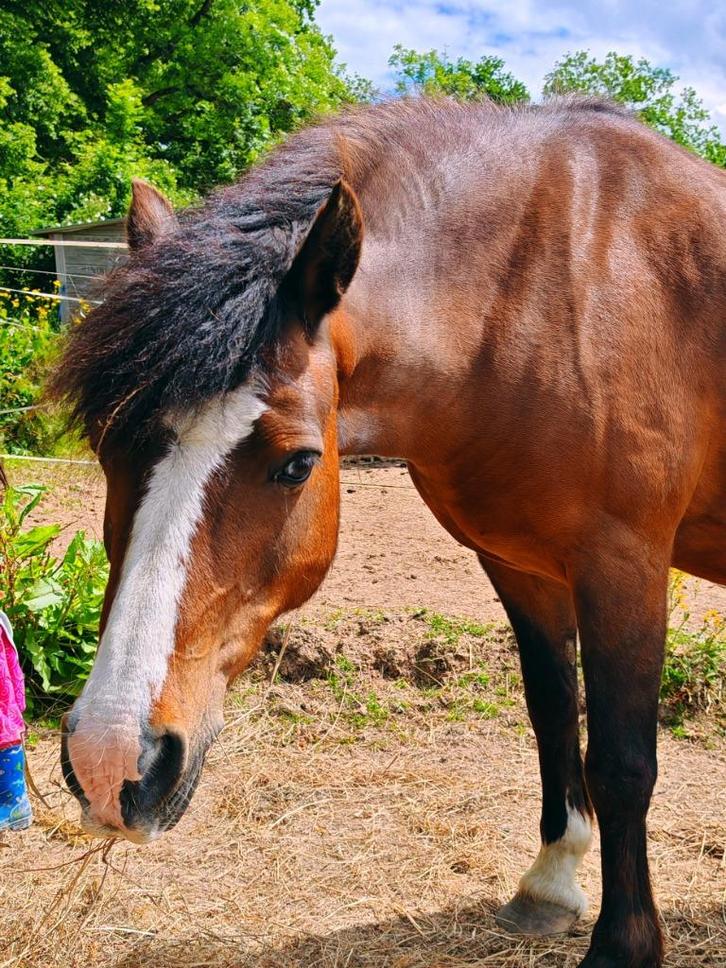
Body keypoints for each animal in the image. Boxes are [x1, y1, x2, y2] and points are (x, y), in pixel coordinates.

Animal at [51, 98, 725, 968]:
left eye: (298, 464)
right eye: (105, 446)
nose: (109, 765)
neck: (552, 290)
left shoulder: (624, 563)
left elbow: (621, 760)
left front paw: (623, 946)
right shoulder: (519, 564)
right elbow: (552, 716)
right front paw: (549, 883)